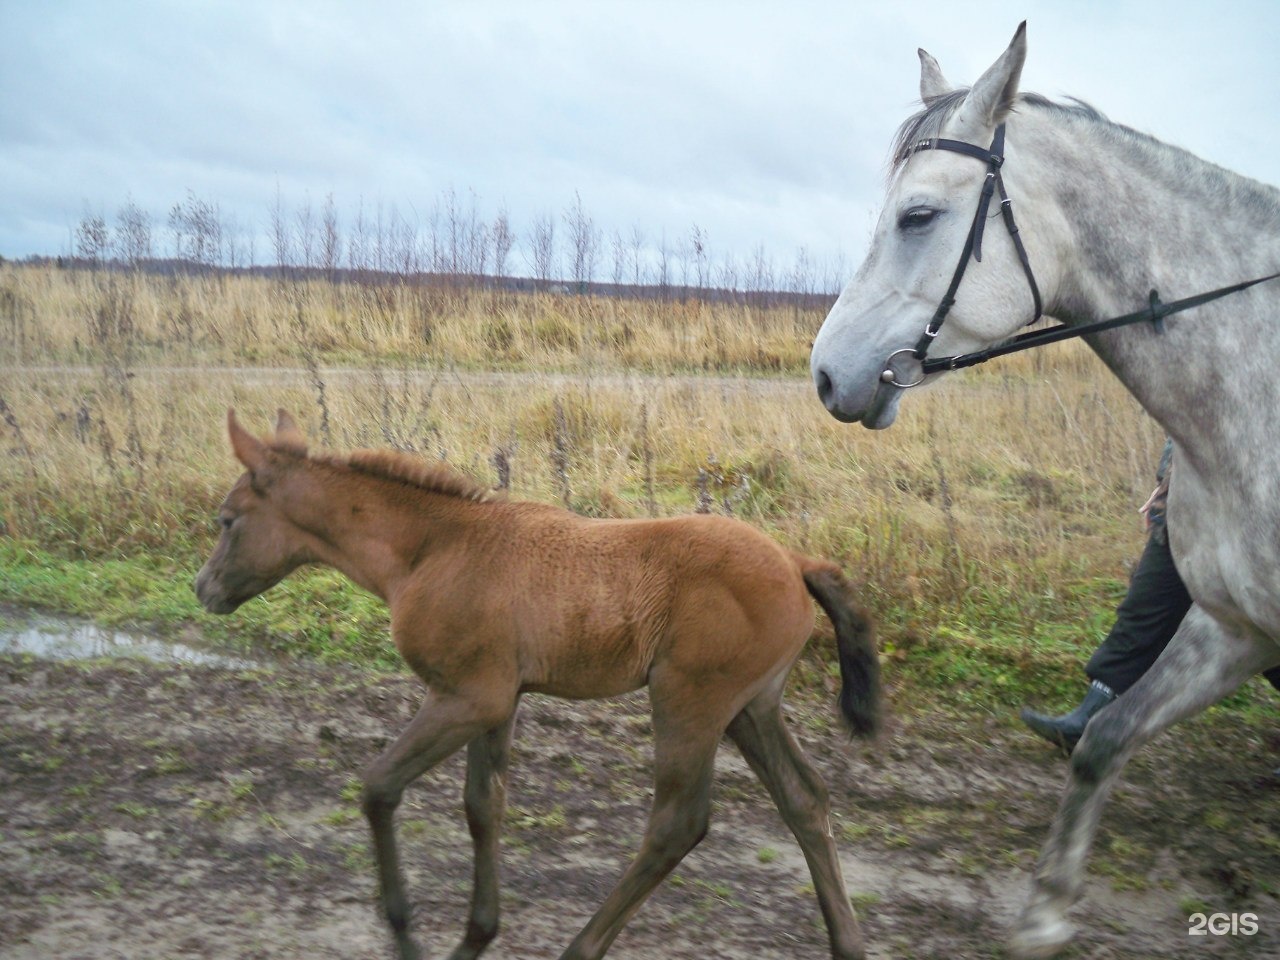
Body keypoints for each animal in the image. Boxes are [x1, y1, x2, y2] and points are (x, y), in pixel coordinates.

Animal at [194, 409, 880, 957]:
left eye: (227, 520)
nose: (203, 589)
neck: (432, 549)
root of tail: (795, 561)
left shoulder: (467, 697)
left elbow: (379, 786)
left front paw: (407, 931)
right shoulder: (499, 701)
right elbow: (482, 806)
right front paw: (475, 935)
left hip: (690, 700)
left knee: (678, 823)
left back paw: (581, 948)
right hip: (751, 707)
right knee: (805, 799)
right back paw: (847, 943)